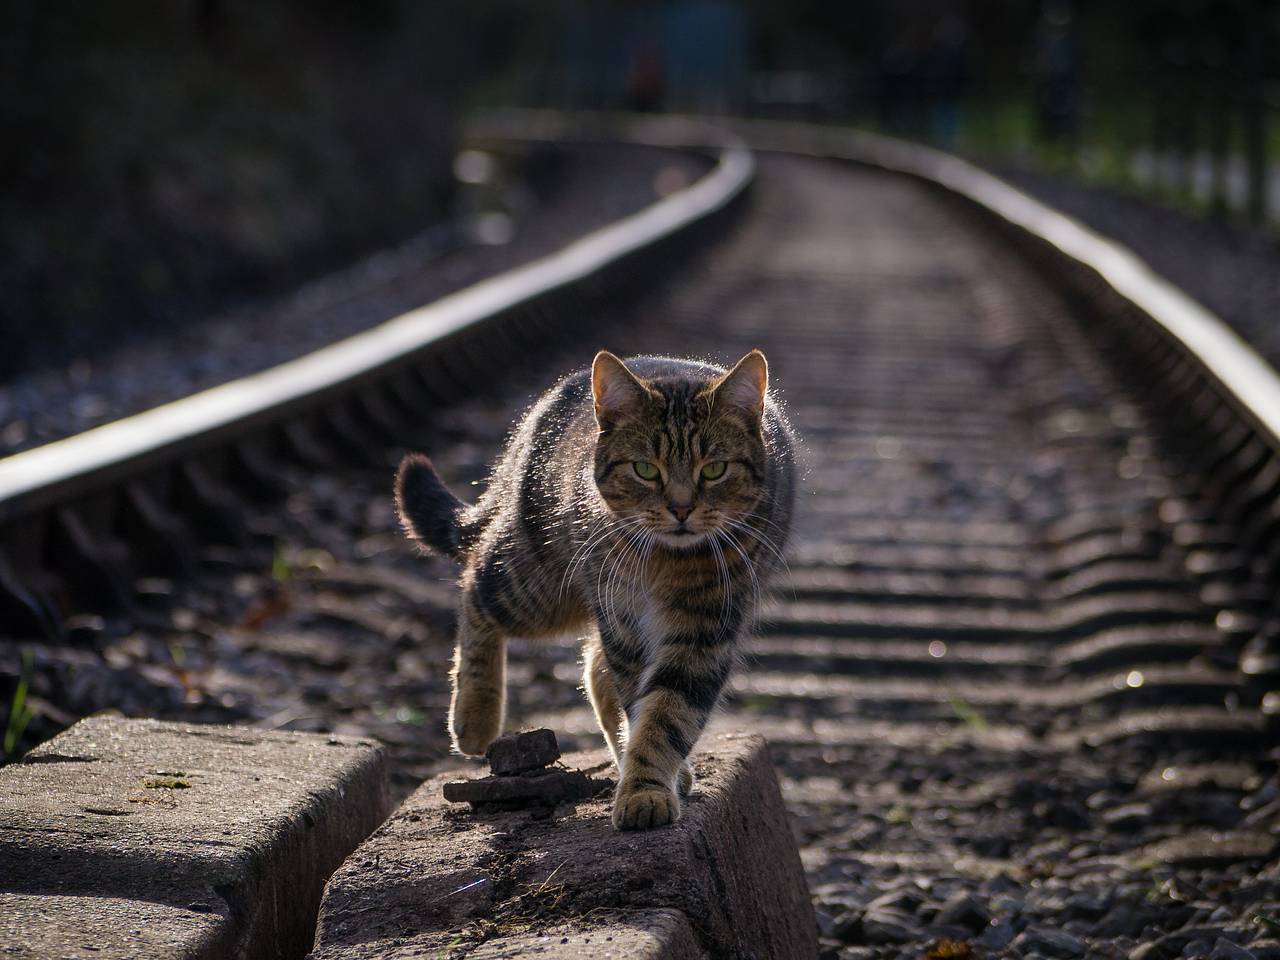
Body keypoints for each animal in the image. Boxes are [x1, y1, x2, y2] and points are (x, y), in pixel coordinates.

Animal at [394, 350, 793, 829]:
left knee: (595, 672)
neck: (666, 562)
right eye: (645, 469)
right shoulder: (622, 619)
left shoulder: (704, 631)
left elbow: (665, 714)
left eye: (714, 469)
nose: (680, 509)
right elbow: (645, 707)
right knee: (476, 585)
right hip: (539, 586)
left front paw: (645, 787)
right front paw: (646, 787)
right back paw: (474, 718)